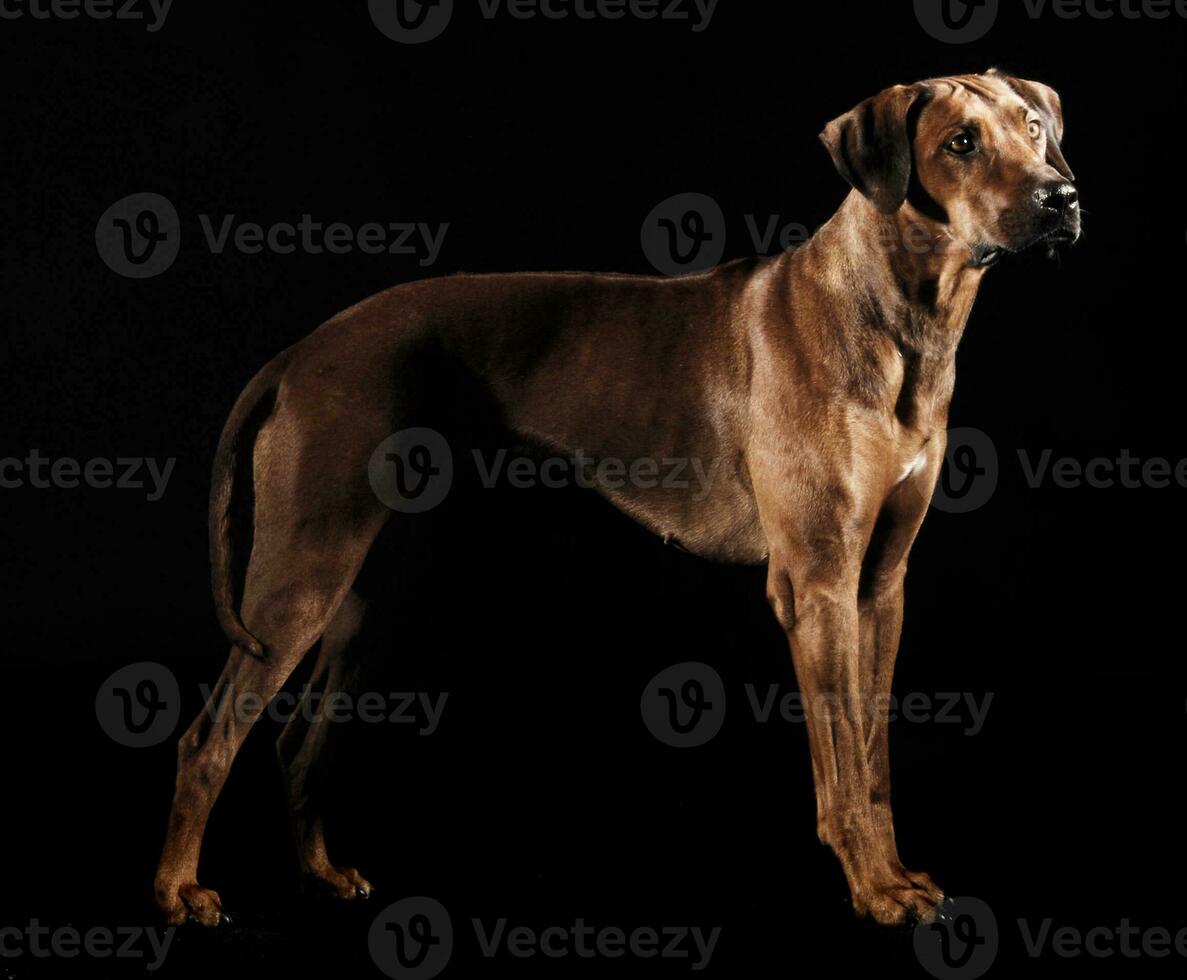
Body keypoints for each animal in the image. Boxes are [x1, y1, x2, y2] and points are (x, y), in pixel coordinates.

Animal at [157, 68, 1087, 925]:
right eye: (959, 143)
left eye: (1032, 126)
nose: (1061, 197)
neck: (898, 315)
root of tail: (299, 354)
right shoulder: (816, 584)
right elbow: (841, 773)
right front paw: (870, 888)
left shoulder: (879, 585)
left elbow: (872, 759)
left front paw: (892, 874)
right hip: (301, 576)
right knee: (209, 738)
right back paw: (177, 891)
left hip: (362, 600)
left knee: (294, 743)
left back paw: (319, 874)